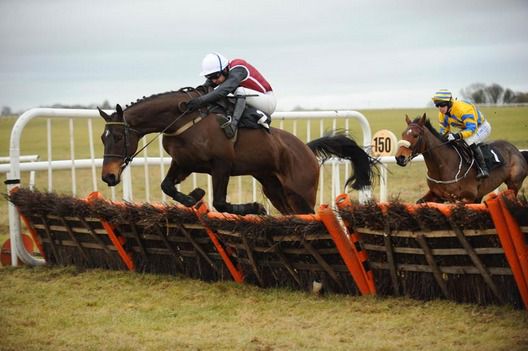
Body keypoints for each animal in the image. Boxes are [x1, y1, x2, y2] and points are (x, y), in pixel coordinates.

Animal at [98, 86, 376, 216]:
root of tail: (305, 150)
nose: (108, 176)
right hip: (275, 189)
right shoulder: (184, 163)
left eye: (119, 137)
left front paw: (255, 207)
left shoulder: (221, 166)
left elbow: (220, 203)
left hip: (301, 192)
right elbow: (167, 186)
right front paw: (194, 196)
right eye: (103, 138)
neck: (183, 119)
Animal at [396, 114, 528, 204]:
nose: (399, 158)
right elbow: (419, 203)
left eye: (415, 135)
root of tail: (517, 151)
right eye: (403, 134)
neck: (443, 166)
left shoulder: (466, 198)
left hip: (514, 184)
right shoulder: (436, 195)